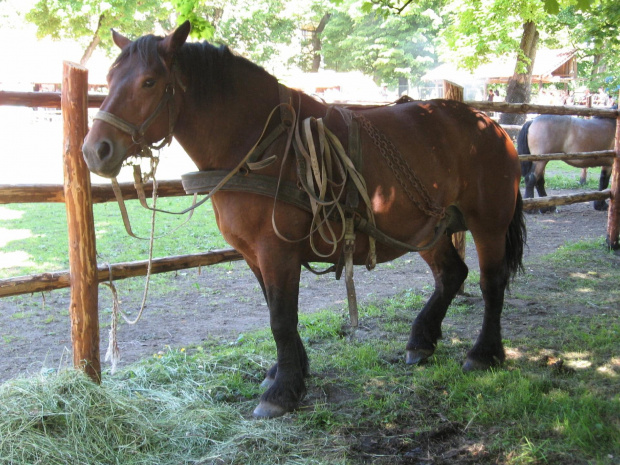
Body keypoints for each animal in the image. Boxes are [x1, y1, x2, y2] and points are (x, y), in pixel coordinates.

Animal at [82, 22, 524, 416]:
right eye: (109, 78)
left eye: (149, 82)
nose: (94, 151)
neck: (258, 144)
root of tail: (489, 125)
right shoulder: (254, 255)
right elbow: (277, 314)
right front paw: (288, 371)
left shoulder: (276, 250)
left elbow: (281, 319)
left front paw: (281, 392)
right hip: (426, 228)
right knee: (451, 275)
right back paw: (421, 341)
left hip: (488, 224)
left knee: (491, 282)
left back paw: (484, 354)